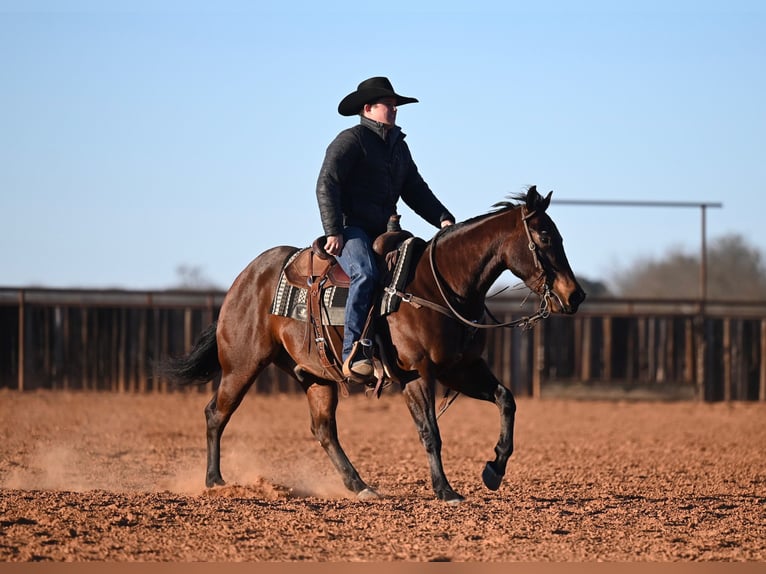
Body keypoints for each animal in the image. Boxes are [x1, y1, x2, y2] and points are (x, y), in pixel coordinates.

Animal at [162, 186, 585, 502]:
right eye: (545, 236)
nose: (575, 295)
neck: (436, 287)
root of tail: (243, 279)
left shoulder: (460, 369)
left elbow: (506, 399)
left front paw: (494, 469)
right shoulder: (417, 374)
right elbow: (430, 431)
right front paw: (445, 490)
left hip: (315, 377)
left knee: (323, 430)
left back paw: (360, 486)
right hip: (242, 366)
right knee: (215, 414)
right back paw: (214, 481)